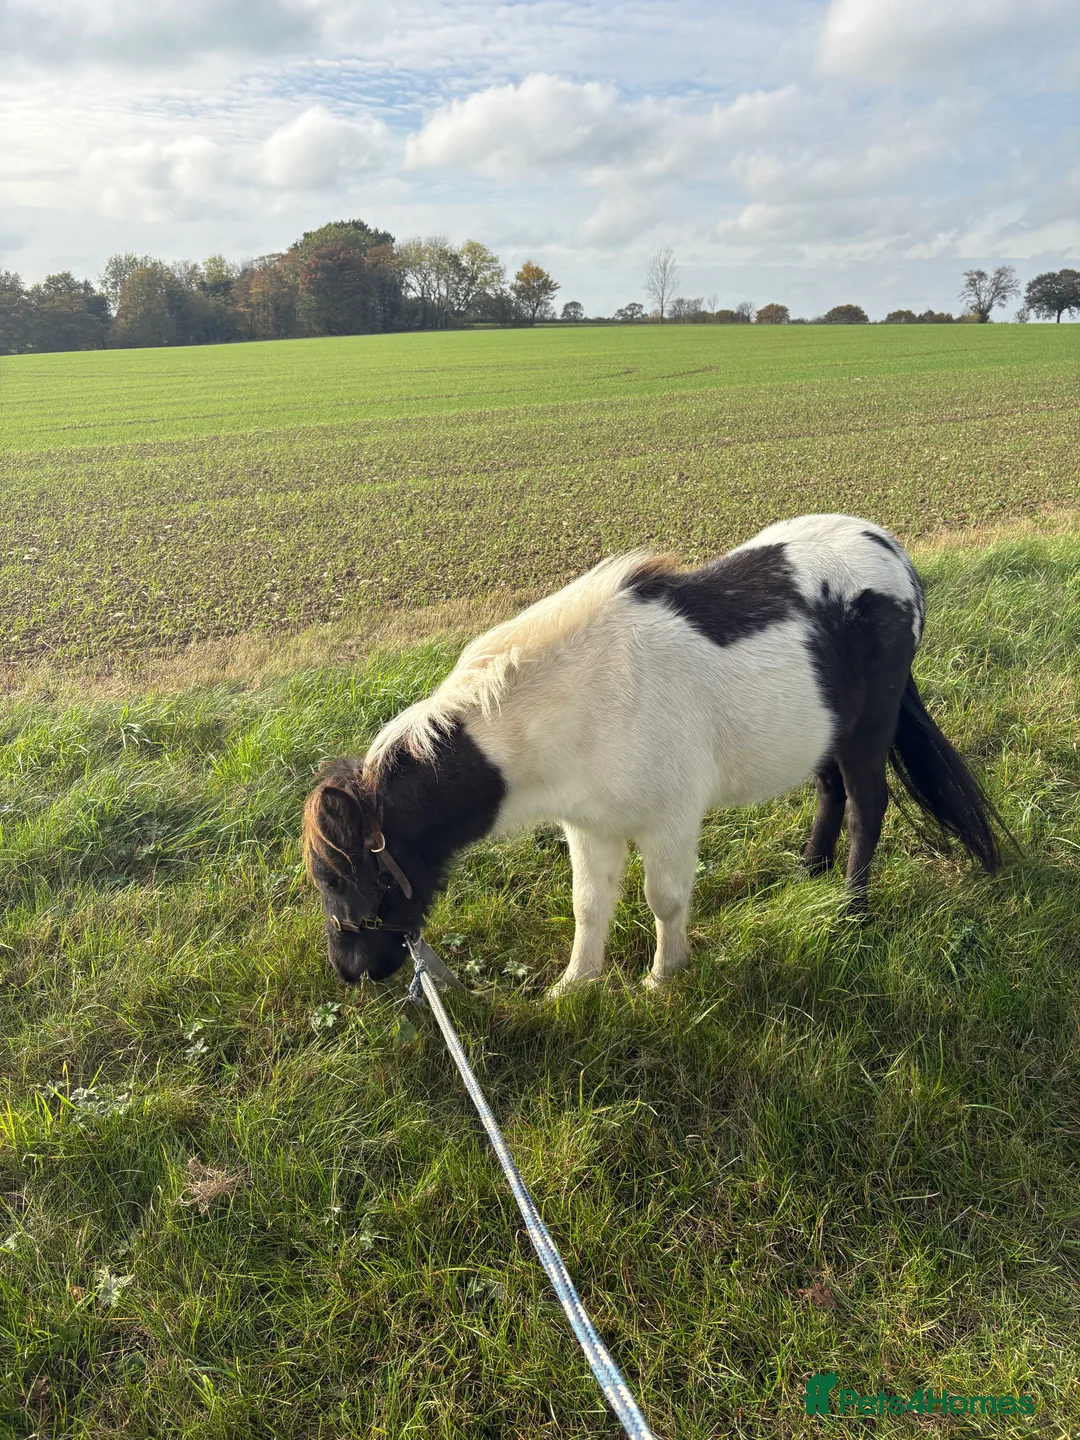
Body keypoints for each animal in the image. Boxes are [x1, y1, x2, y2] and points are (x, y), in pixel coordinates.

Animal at [302, 514, 1004, 996]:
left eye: (340, 877)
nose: (349, 971)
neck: (586, 704)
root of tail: (894, 556)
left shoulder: (669, 823)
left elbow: (664, 901)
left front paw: (664, 979)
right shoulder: (589, 828)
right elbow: (590, 906)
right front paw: (574, 987)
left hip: (866, 731)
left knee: (866, 806)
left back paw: (850, 912)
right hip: (823, 730)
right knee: (831, 793)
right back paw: (810, 874)